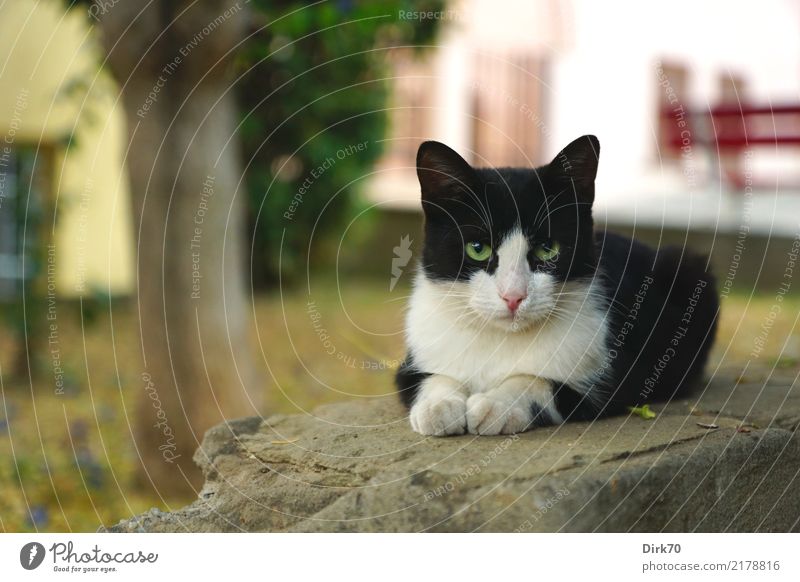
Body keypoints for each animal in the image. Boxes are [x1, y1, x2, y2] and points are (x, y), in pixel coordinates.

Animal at [398, 136, 720, 438]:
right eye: (478, 248)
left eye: (547, 249)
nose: (513, 296)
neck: (502, 339)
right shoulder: (411, 362)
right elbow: (428, 377)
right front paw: (438, 405)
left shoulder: (616, 379)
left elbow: (535, 380)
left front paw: (498, 403)